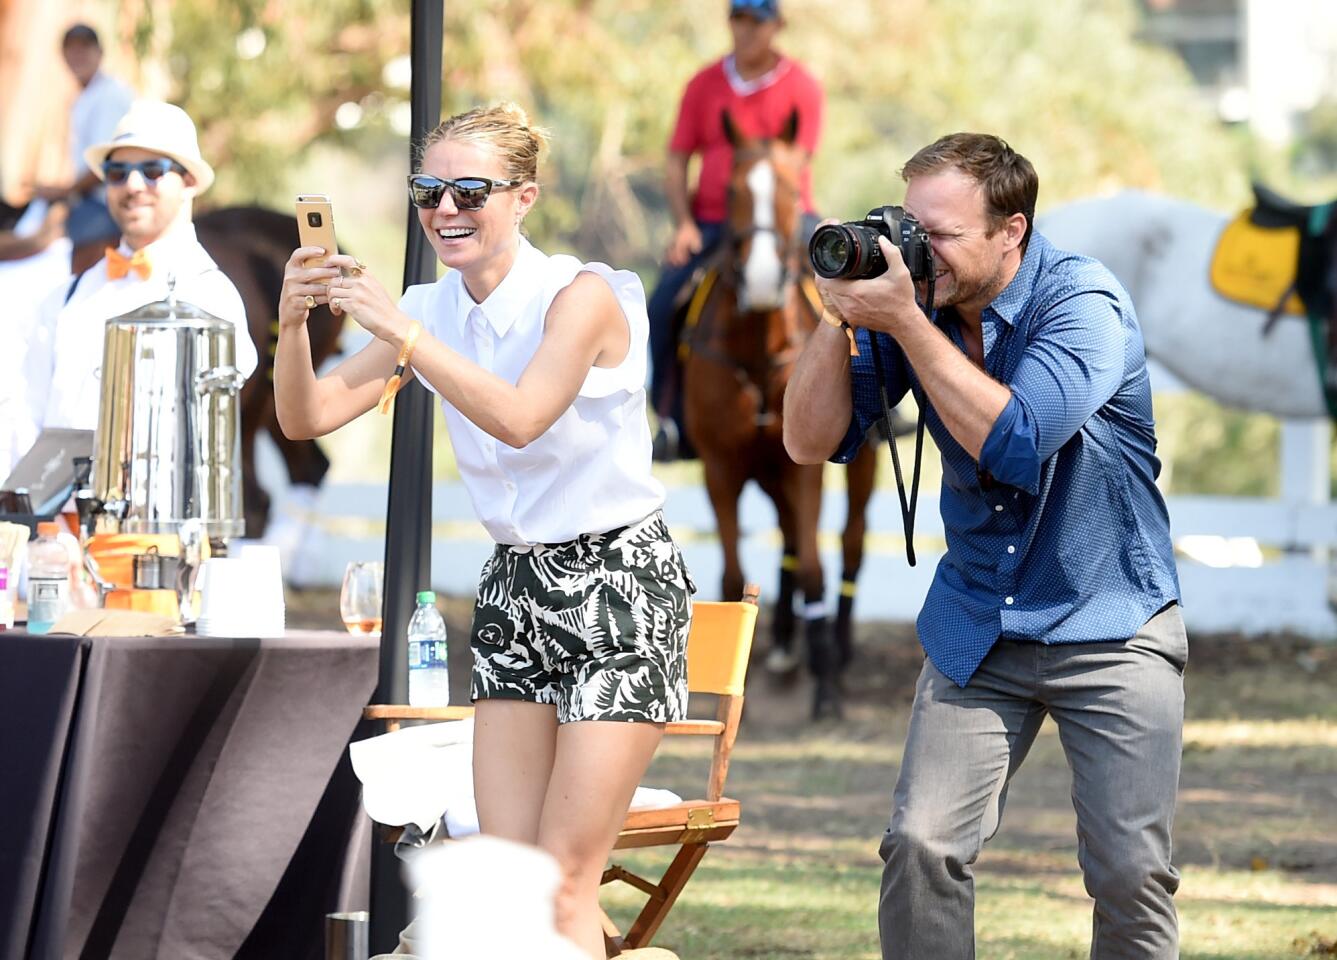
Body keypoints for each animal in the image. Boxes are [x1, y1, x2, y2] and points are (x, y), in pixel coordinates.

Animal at [684, 110, 882, 722]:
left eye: (794, 189)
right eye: (730, 190)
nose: (764, 279)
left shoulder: (805, 468)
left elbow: (818, 568)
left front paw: (826, 688)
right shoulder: (720, 465)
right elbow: (733, 571)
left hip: (857, 466)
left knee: (849, 545)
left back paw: (835, 650)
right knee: (792, 540)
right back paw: (784, 647)